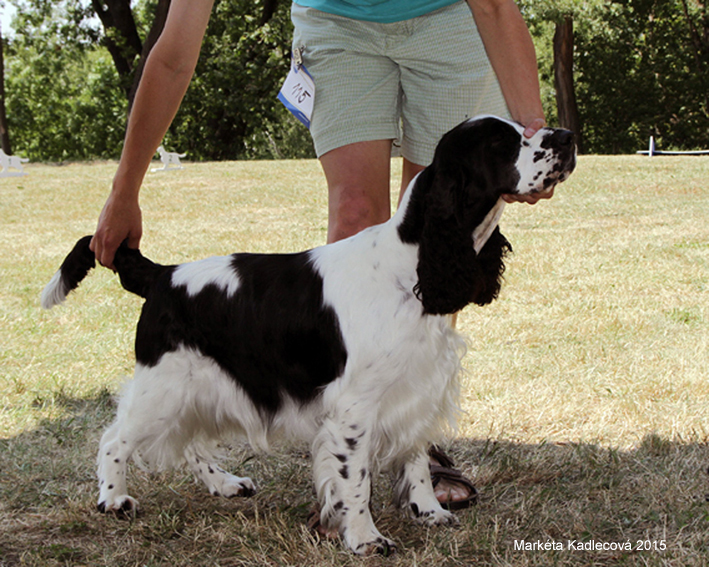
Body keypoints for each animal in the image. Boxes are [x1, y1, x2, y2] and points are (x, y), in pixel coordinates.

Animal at [41, 117, 576, 556]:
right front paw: (364, 538)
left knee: (190, 441)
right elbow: (355, 480)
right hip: (165, 383)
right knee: (114, 438)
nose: (568, 136)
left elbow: (416, 459)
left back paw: (225, 484)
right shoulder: (355, 407)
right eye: (503, 143)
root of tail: (163, 275)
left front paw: (429, 511)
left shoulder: (414, 389)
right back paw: (114, 499)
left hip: (201, 384)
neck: (411, 264)